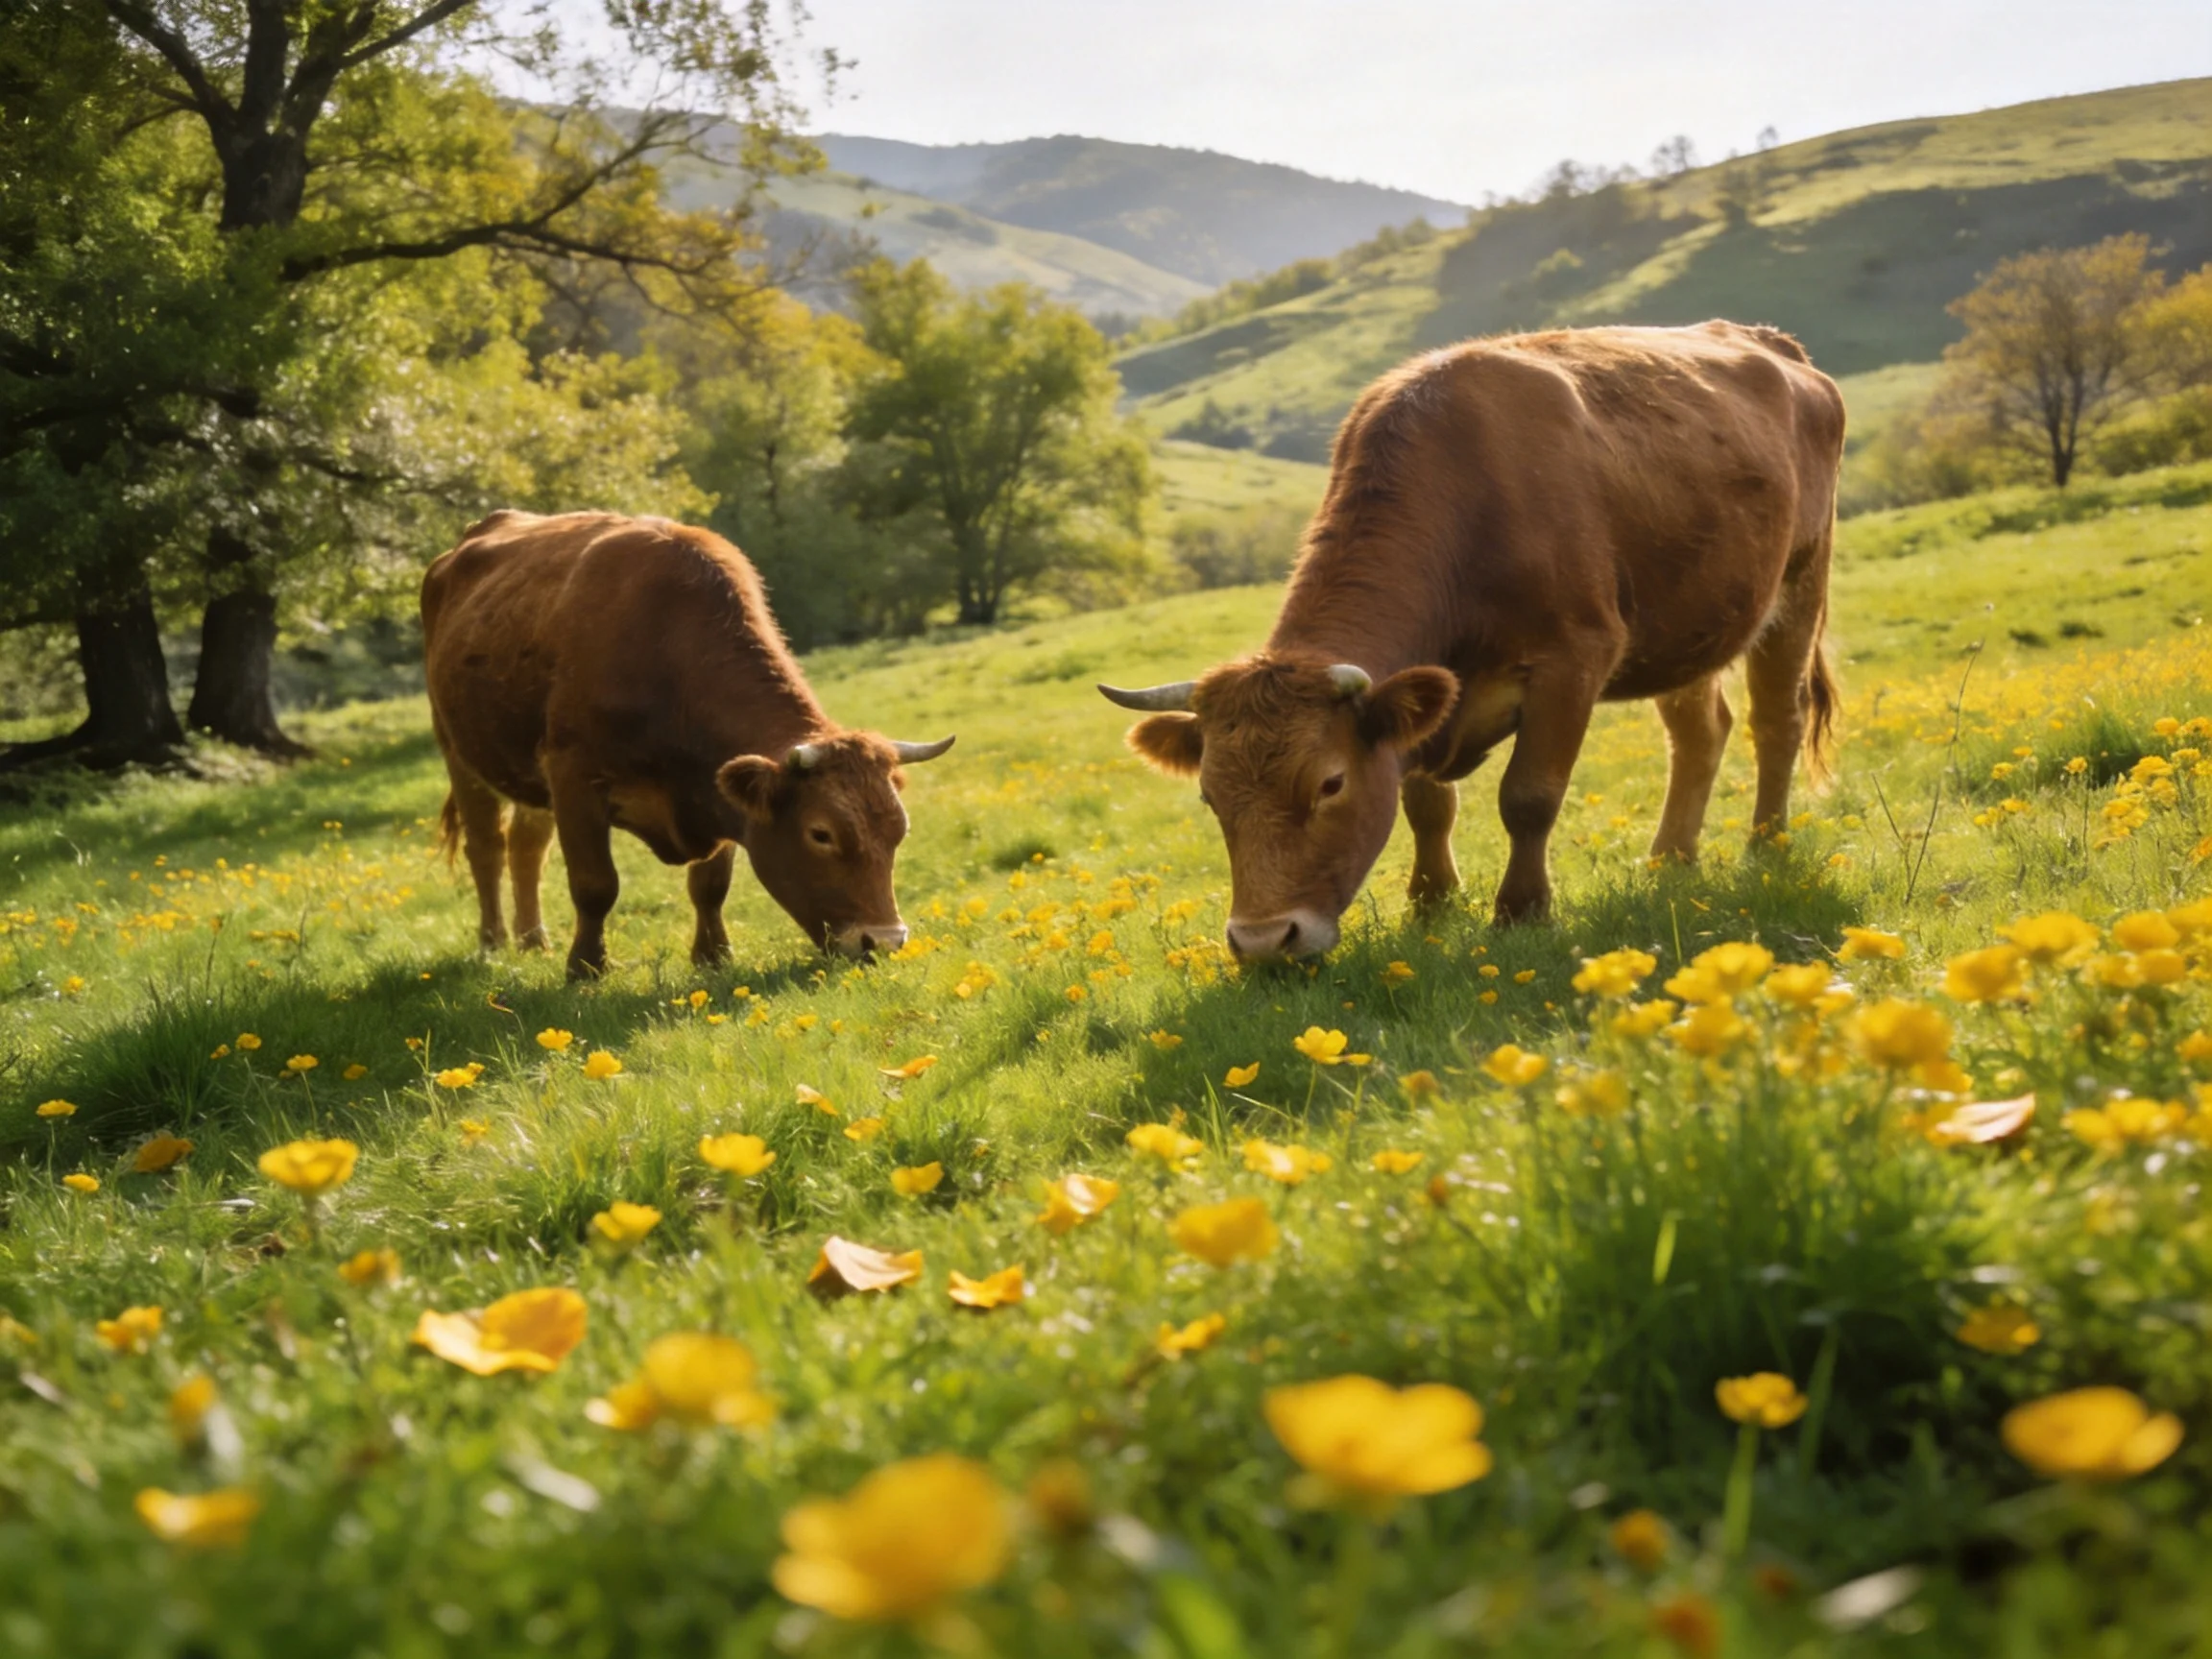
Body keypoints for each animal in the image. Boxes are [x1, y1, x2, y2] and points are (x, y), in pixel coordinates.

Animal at [422, 510, 953, 979]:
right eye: (820, 833)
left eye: (898, 831)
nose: (884, 941)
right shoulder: (573, 778)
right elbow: (595, 885)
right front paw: (586, 968)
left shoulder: (717, 786)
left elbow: (710, 885)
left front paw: (713, 956)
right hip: (458, 752)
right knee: (486, 847)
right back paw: (493, 943)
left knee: (526, 847)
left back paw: (534, 940)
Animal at [1100, 321, 1844, 961]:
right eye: (1210, 796)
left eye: (1330, 783)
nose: (1261, 941)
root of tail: (1770, 343)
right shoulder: (1425, 699)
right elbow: (1427, 803)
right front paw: (1432, 904)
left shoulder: (1573, 659)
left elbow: (1529, 796)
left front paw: (1521, 911)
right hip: (1687, 625)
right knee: (1700, 733)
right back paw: (1669, 860)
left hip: (1799, 583)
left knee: (1777, 720)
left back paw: (1766, 846)